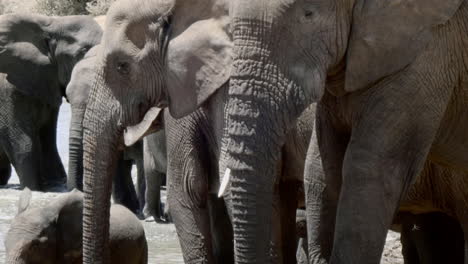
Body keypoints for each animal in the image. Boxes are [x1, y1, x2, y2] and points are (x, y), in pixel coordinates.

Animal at [0, 14, 102, 191]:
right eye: (82, 52)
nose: (75, 189)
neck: (53, 23)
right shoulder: (8, 92)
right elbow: (21, 142)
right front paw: (33, 188)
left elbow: (47, 138)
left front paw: (54, 184)